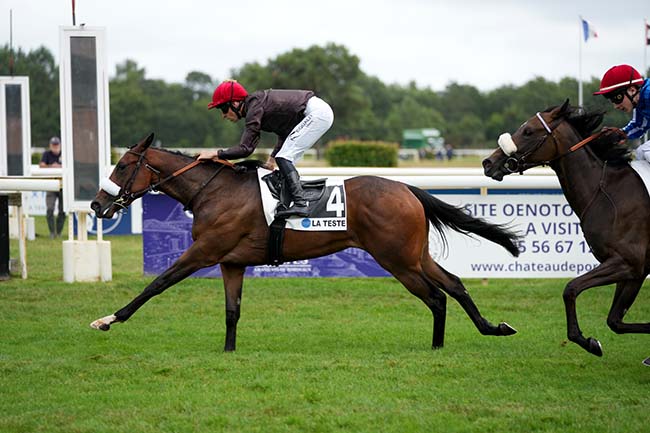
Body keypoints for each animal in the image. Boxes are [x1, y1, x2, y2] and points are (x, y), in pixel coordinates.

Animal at [88, 134, 520, 352]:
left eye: (122, 165)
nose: (96, 204)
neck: (213, 191)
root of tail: (406, 188)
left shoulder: (204, 252)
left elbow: (156, 284)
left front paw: (107, 319)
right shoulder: (231, 262)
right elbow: (232, 311)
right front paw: (228, 352)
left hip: (397, 259)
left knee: (436, 296)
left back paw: (437, 347)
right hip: (414, 255)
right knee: (454, 285)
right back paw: (489, 329)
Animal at [480, 99, 648, 360]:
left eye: (528, 131)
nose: (488, 162)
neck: (608, 193)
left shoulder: (628, 262)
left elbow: (570, 289)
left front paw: (586, 340)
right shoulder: (633, 271)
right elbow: (615, 321)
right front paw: (592, 342)